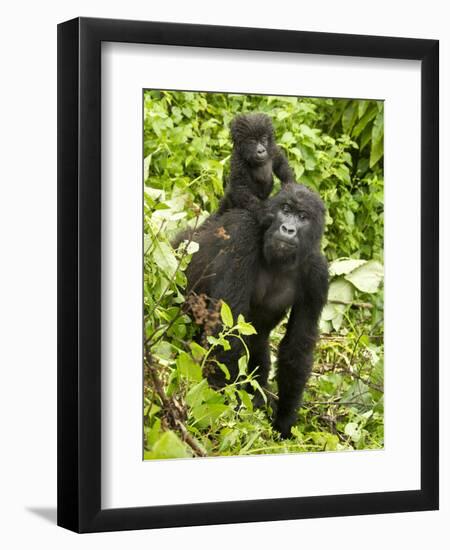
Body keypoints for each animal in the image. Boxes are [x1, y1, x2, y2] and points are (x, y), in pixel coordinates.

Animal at [181, 185, 328, 440]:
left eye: (302, 217)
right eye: (285, 209)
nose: (288, 229)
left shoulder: (318, 274)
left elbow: (297, 347)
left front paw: (284, 422)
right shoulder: (244, 233)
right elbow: (227, 328)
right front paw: (218, 405)